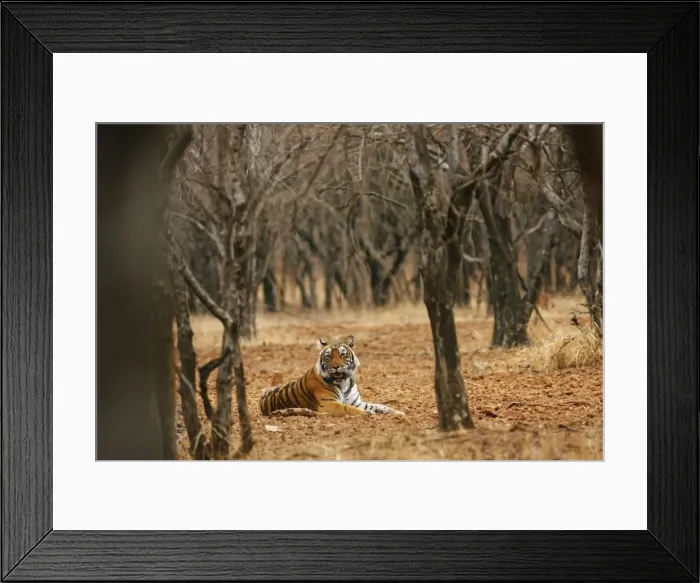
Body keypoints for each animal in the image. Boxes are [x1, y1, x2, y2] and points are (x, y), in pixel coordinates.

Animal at [259, 335, 405, 417]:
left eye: (342, 355)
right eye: (329, 356)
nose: (336, 366)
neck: (344, 383)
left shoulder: (357, 402)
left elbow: (380, 406)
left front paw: (398, 413)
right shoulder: (329, 405)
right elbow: (348, 408)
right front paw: (366, 413)